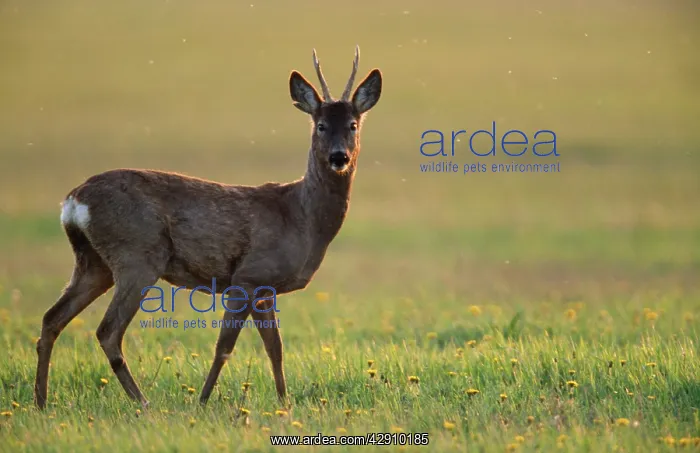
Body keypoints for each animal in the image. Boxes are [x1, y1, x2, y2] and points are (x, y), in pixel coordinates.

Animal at [34, 46, 382, 409]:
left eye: (353, 124)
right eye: (321, 125)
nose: (339, 157)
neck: (301, 217)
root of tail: (74, 200)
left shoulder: (265, 288)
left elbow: (275, 348)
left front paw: (284, 404)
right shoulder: (248, 276)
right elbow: (224, 347)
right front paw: (202, 401)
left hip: (93, 262)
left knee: (52, 318)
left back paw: (41, 402)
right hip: (137, 255)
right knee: (108, 331)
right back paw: (143, 404)